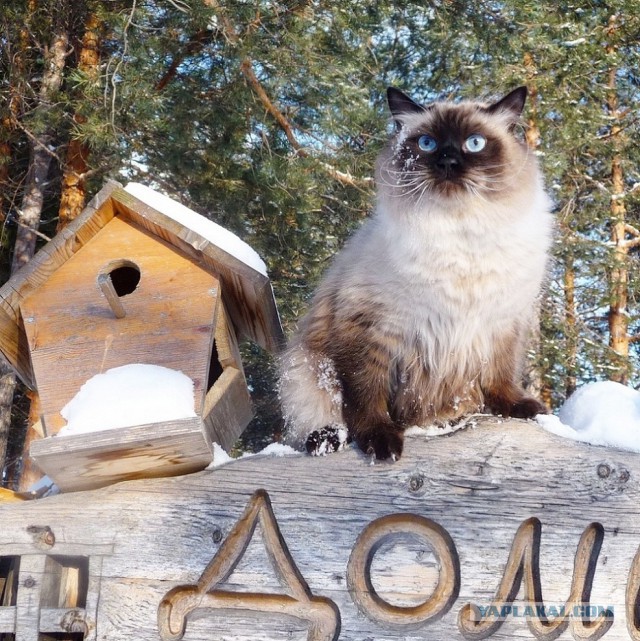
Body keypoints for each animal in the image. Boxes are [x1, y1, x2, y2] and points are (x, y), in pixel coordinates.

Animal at [278, 86, 552, 460]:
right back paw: (327, 440)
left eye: (474, 143)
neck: (462, 236)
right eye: (427, 143)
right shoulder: (371, 330)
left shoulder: (503, 326)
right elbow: (366, 396)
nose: (448, 162)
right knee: (320, 416)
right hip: (304, 367)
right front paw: (381, 441)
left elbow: (502, 378)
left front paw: (521, 408)